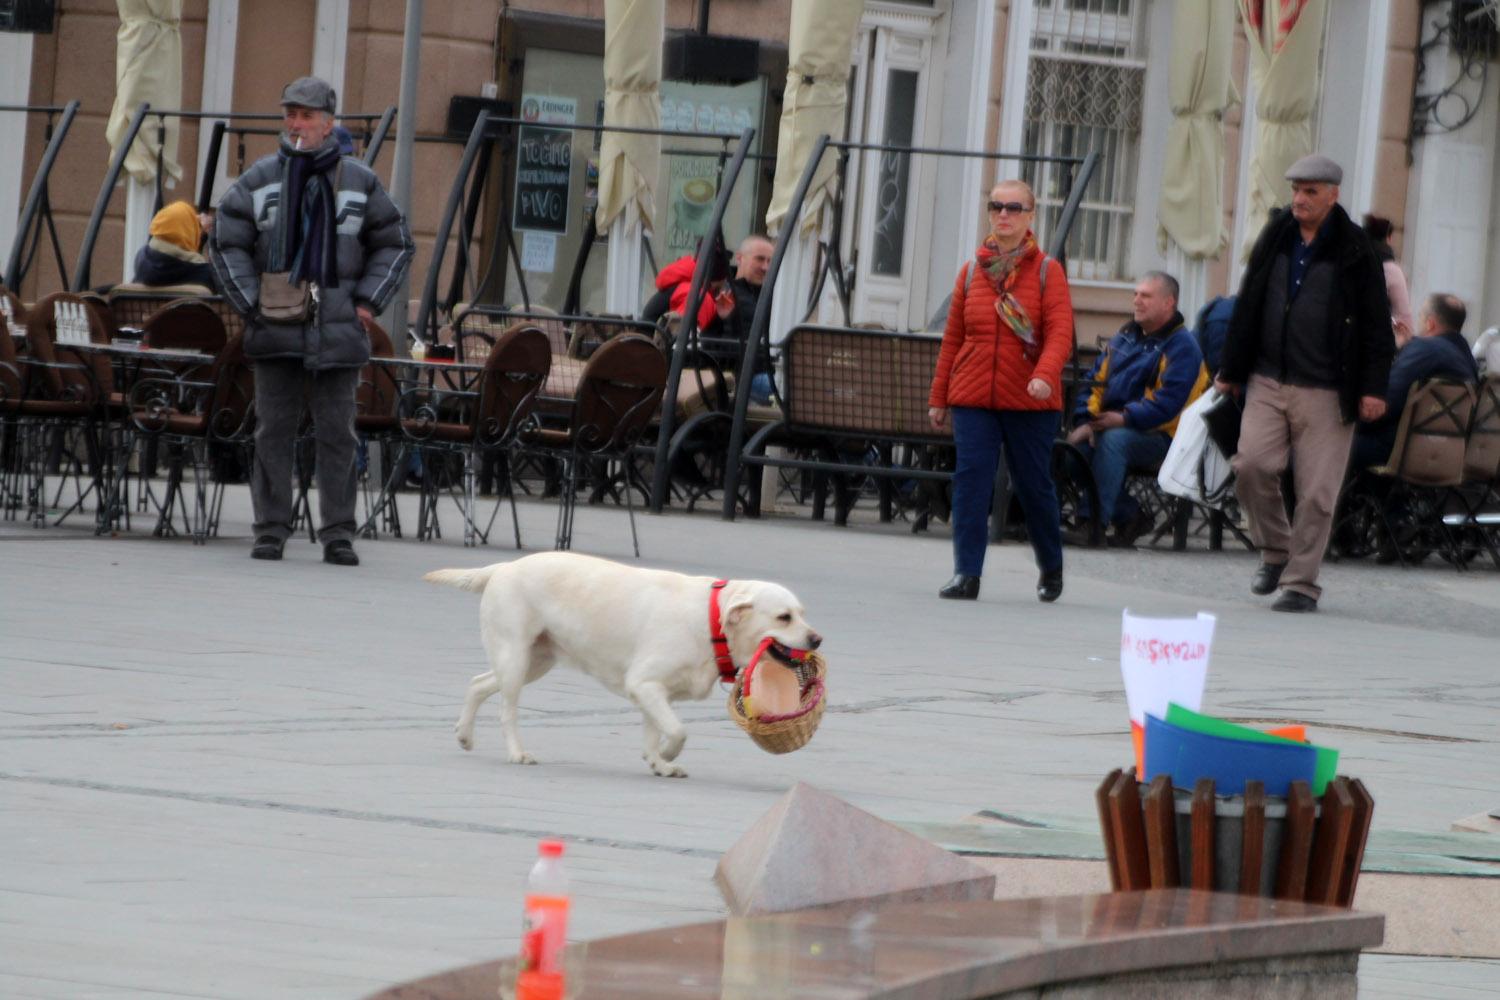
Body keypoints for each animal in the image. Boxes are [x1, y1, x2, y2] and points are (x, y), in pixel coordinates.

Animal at [423, 551, 822, 779]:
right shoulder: (644, 684)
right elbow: (678, 731)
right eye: (784, 617)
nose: (817, 639)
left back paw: (464, 735)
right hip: (516, 657)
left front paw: (658, 762)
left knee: (477, 683)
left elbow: (655, 730)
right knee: (506, 711)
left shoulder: (655, 692)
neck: (712, 621)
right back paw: (516, 753)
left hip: (534, 662)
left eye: (803, 613)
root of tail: (503, 567)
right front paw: (666, 754)